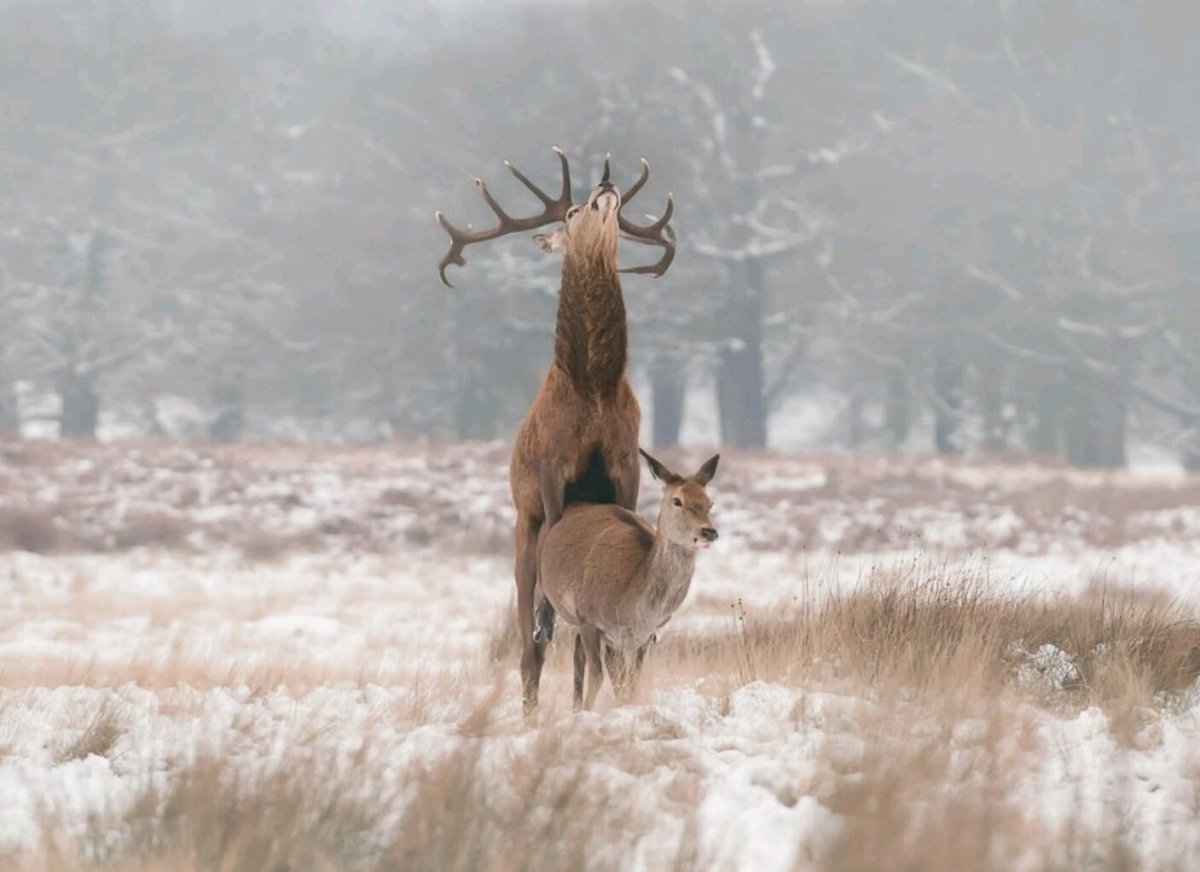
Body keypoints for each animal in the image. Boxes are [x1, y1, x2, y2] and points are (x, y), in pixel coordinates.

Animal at [435, 148, 676, 714]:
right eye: (569, 212)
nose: (605, 186)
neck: (592, 388)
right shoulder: (552, 463)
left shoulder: (626, 462)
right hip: (522, 534)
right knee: (530, 646)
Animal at [536, 449, 719, 710]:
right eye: (677, 501)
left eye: (709, 502)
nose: (709, 531)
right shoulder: (589, 617)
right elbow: (597, 675)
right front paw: (587, 712)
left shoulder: (645, 635)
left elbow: (632, 682)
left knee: (580, 655)